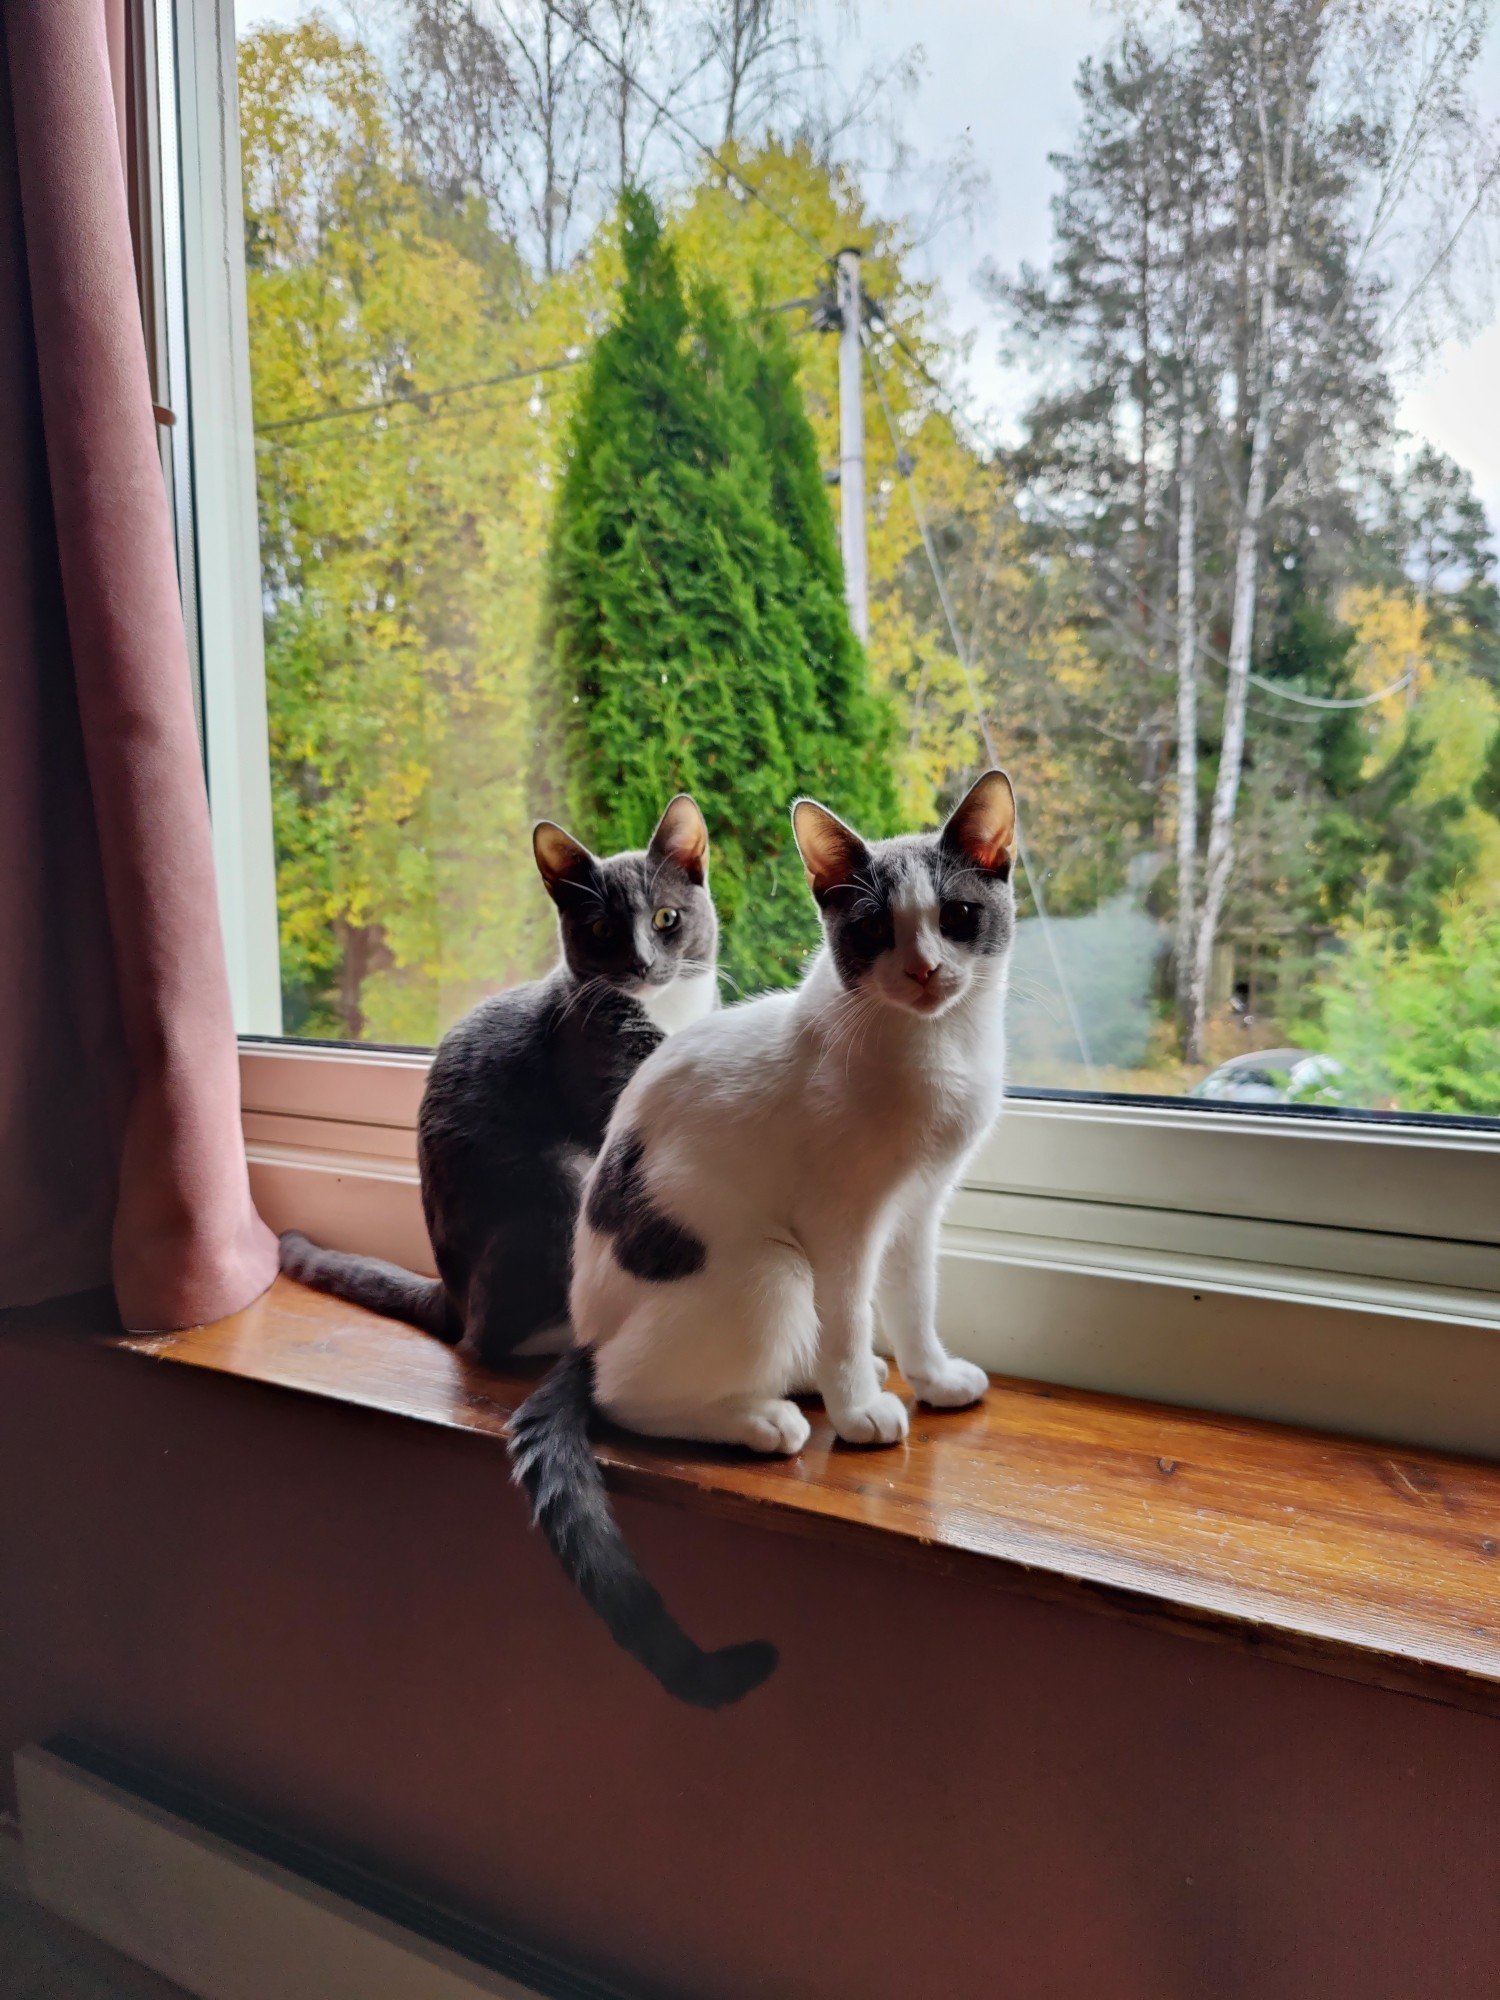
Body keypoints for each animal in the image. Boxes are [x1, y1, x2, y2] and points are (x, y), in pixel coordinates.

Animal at [290, 788, 728, 1368]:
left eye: (666, 917)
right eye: (601, 929)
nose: (641, 963)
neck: (668, 1010)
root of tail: (450, 1296)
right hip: (557, 1180)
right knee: (486, 1341)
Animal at [512, 764, 1016, 1704]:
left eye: (959, 915)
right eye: (873, 930)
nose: (926, 968)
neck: (934, 1051)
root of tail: (585, 1338)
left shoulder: (916, 1210)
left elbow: (914, 1301)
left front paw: (931, 1376)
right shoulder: (841, 1222)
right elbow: (853, 1317)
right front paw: (860, 1413)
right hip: (772, 1267)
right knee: (629, 1393)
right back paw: (767, 1419)